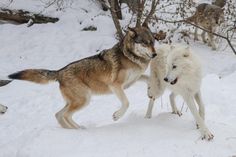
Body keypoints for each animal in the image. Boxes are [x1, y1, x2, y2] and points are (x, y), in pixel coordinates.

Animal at [8, 25, 157, 129]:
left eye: (153, 42)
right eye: (144, 43)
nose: (155, 54)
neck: (131, 56)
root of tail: (59, 72)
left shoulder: (133, 80)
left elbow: (148, 78)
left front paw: (151, 90)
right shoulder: (115, 85)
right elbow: (126, 103)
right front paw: (117, 116)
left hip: (77, 101)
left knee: (58, 114)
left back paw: (76, 129)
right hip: (84, 99)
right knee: (65, 115)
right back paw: (78, 130)